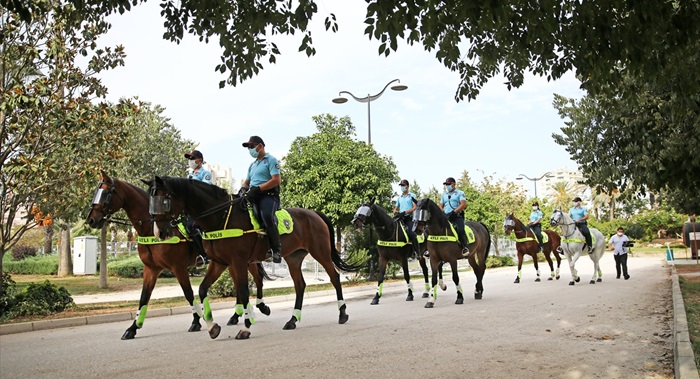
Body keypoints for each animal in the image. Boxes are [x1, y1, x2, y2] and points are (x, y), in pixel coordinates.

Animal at [86, 171, 272, 340]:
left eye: (105, 194)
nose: (91, 220)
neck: (150, 229)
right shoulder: (151, 269)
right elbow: (144, 298)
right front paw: (133, 328)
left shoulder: (178, 267)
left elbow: (188, 293)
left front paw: (197, 321)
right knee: (241, 285)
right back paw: (237, 315)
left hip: (242, 261)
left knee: (256, 279)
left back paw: (259, 308)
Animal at [145, 177, 358, 340]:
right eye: (150, 202)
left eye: (165, 201)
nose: (159, 232)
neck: (221, 217)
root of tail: (314, 213)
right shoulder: (220, 262)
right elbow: (203, 289)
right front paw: (212, 326)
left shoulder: (237, 262)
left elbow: (244, 292)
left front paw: (245, 327)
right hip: (294, 258)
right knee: (300, 285)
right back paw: (292, 320)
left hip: (320, 252)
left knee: (334, 277)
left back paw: (343, 313)